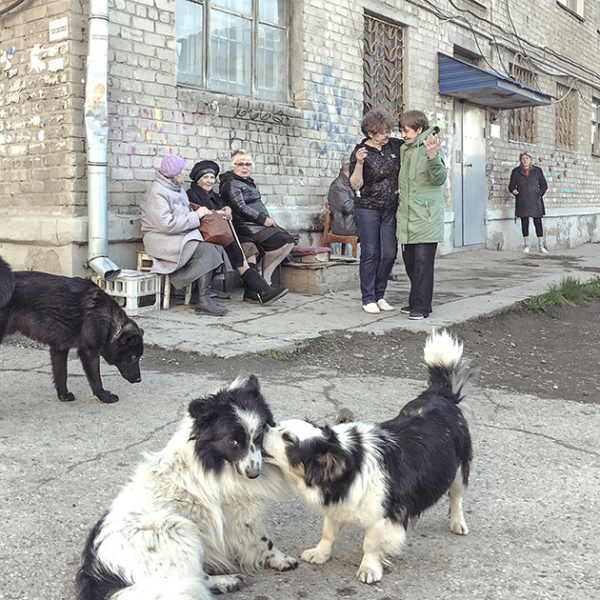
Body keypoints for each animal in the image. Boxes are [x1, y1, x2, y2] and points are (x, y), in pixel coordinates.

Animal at [0, 256, 144, 404]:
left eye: (139, 356)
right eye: (133, 357)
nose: (139, 379)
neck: (108, 320)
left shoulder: (59, 349)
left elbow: (61, 375)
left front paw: (63, 395)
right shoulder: (89, 352)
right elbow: (96, 379)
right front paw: (104, 396)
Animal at [76, 376, 298, 600]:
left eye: (259, 436)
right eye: (233, 441)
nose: (253, 473)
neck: (214, 460)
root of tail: (101, 576)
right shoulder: (241, 516)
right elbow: (264, 541)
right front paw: (281, 560)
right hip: (180, 530)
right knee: (196, 579)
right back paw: (227, 581)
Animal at [262, 330, 474, 584]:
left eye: (288, 439)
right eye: (278, 426)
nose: (262, 426)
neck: (348, 465)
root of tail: (441, 394)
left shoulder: (383, 518)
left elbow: (371, 545)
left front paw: (369, 569)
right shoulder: (338, 504)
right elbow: (328, 533)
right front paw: (320, 554)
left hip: (460, 470)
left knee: (457, 497)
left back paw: (457, 522)